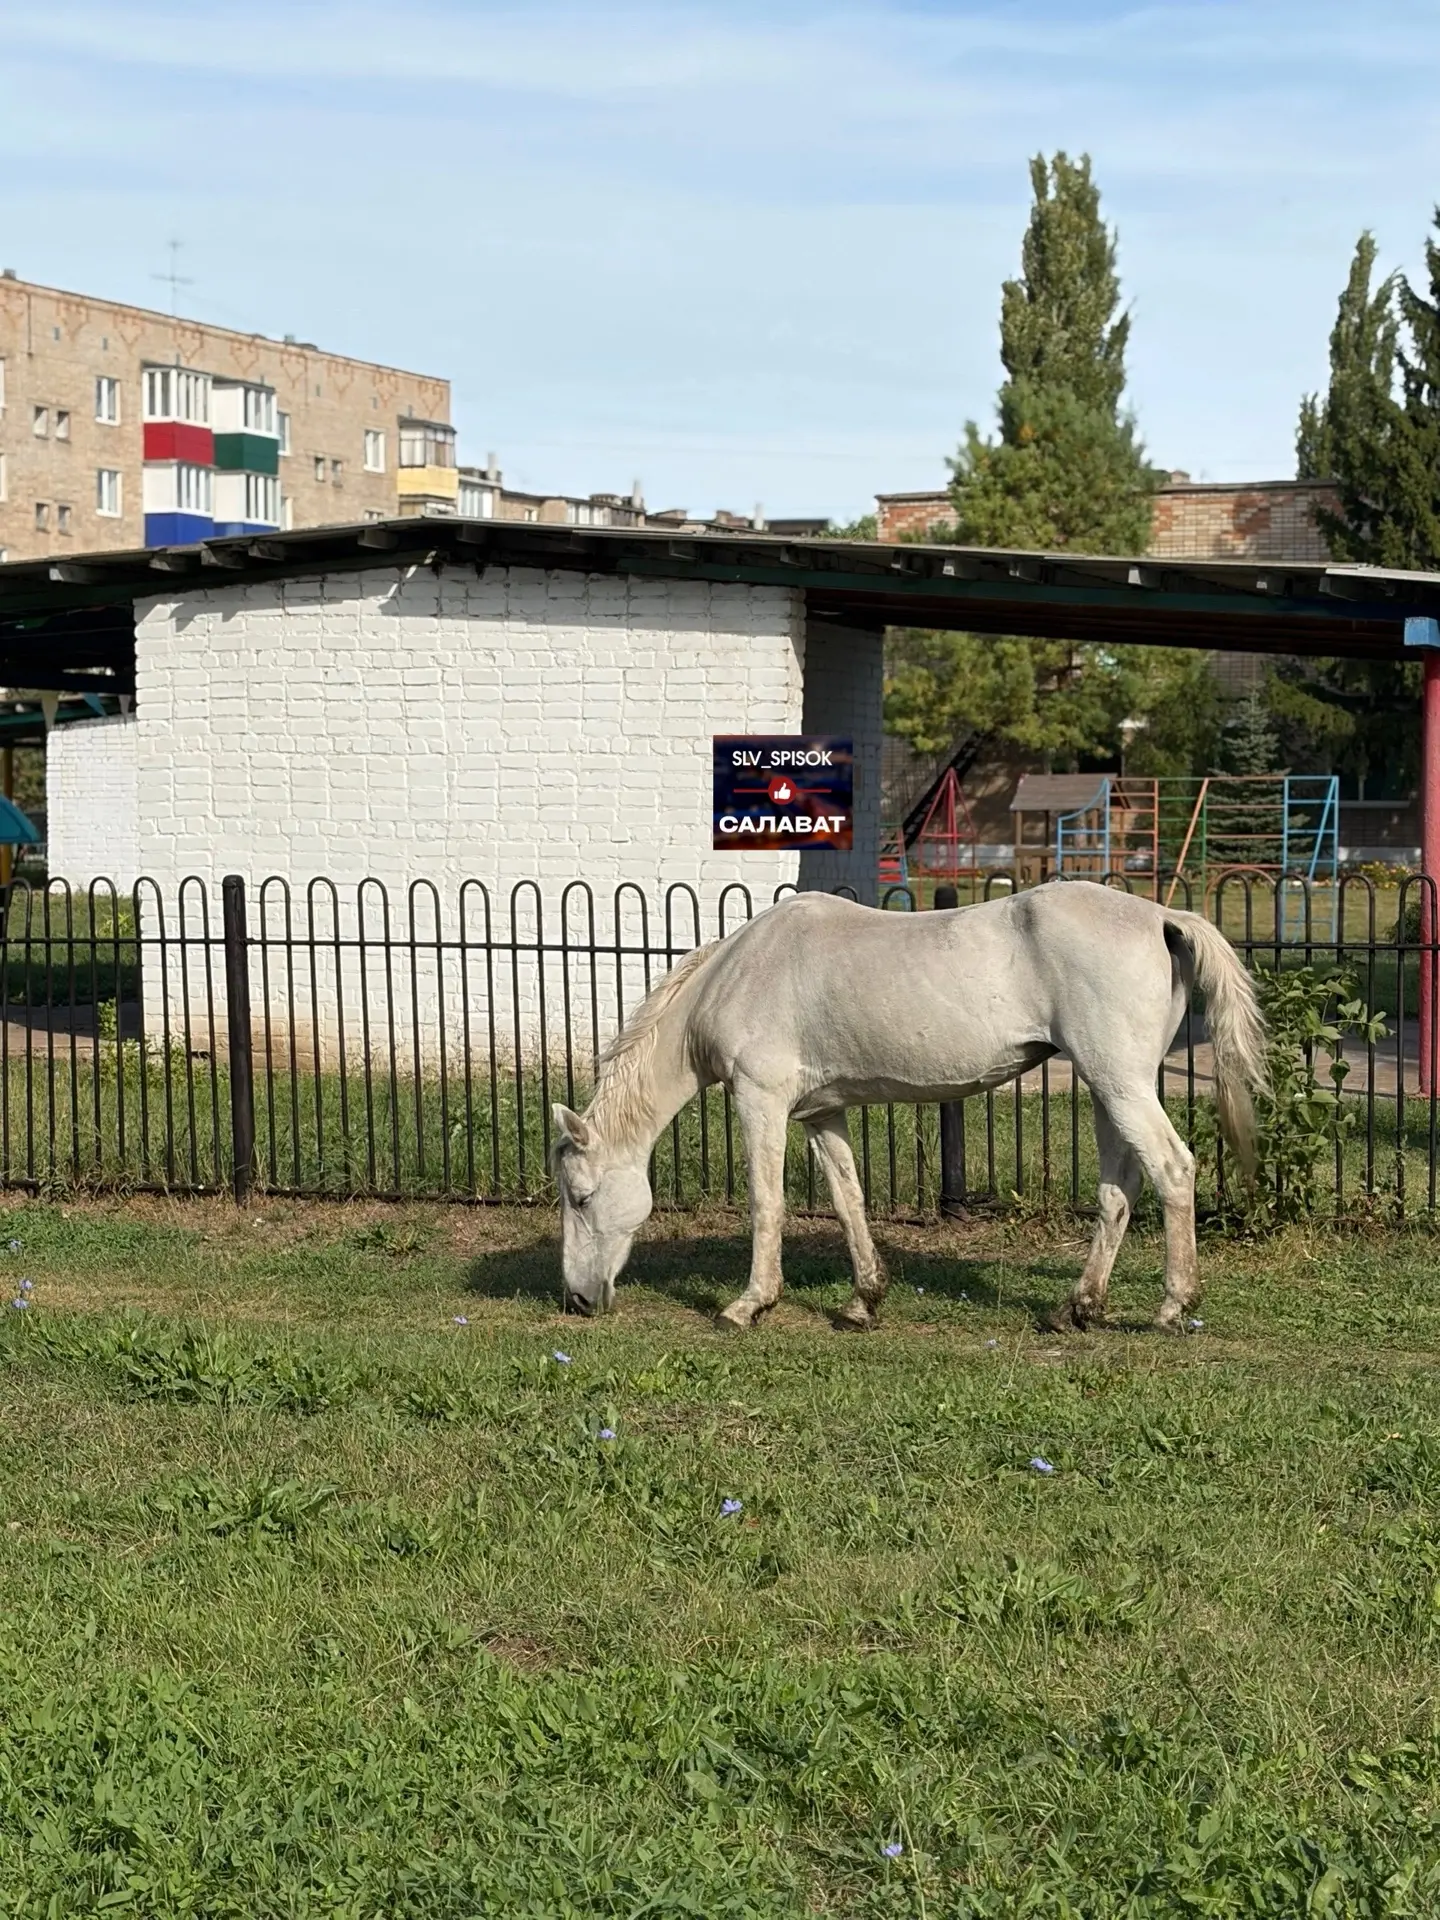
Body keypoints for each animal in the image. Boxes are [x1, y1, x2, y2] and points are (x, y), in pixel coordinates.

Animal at [551, 882, 1267, 1334]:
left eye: (581, 1197)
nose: (578, 1300)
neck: (740, 971)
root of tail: (1162, 919)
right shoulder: (820, 1114)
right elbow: (848, 1200)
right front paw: (863, 1303)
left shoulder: (761, 1101)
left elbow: (766, 1203)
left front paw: (749, 1305)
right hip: (1110, 1086)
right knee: (1119, 1188)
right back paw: (1076, 1309)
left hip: (1119, 1082)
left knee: (1172, 1170)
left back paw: (1173, 1307)